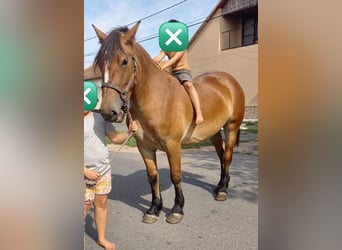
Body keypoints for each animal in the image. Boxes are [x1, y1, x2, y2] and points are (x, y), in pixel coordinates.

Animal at [92, 22, 244, 225]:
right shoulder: (144, 147)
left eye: (124, 61)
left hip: (231, 127)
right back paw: (220, 185)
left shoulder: (173, 146)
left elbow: (175, 175)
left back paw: (222, 190)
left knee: (227, 156)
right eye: (101, 63)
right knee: (221, 155)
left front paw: (177, 209)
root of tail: (228, 80)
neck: (157, 99)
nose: (109, 112)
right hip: (213, 132)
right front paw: (154, 209)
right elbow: (152, 176)